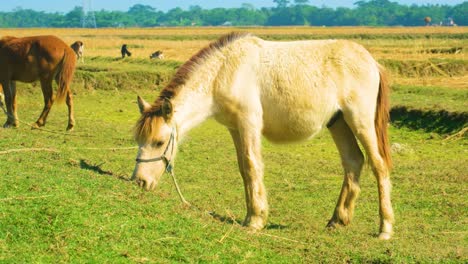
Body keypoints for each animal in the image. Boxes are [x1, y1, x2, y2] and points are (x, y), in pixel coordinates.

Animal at [133, 32, 394, 240]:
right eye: (139, 141)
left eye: (159, 142)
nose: (139, 181)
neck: (225, 71)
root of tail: (372, 61)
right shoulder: (235, 128)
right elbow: (243, 169)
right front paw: (249, 216)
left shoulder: (248, 123)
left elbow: (252, 166)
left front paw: (256, 221)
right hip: (338, 123)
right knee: (353, 162)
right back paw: (338, 220)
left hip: (360, 121)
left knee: (379, 165)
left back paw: (385, 229)